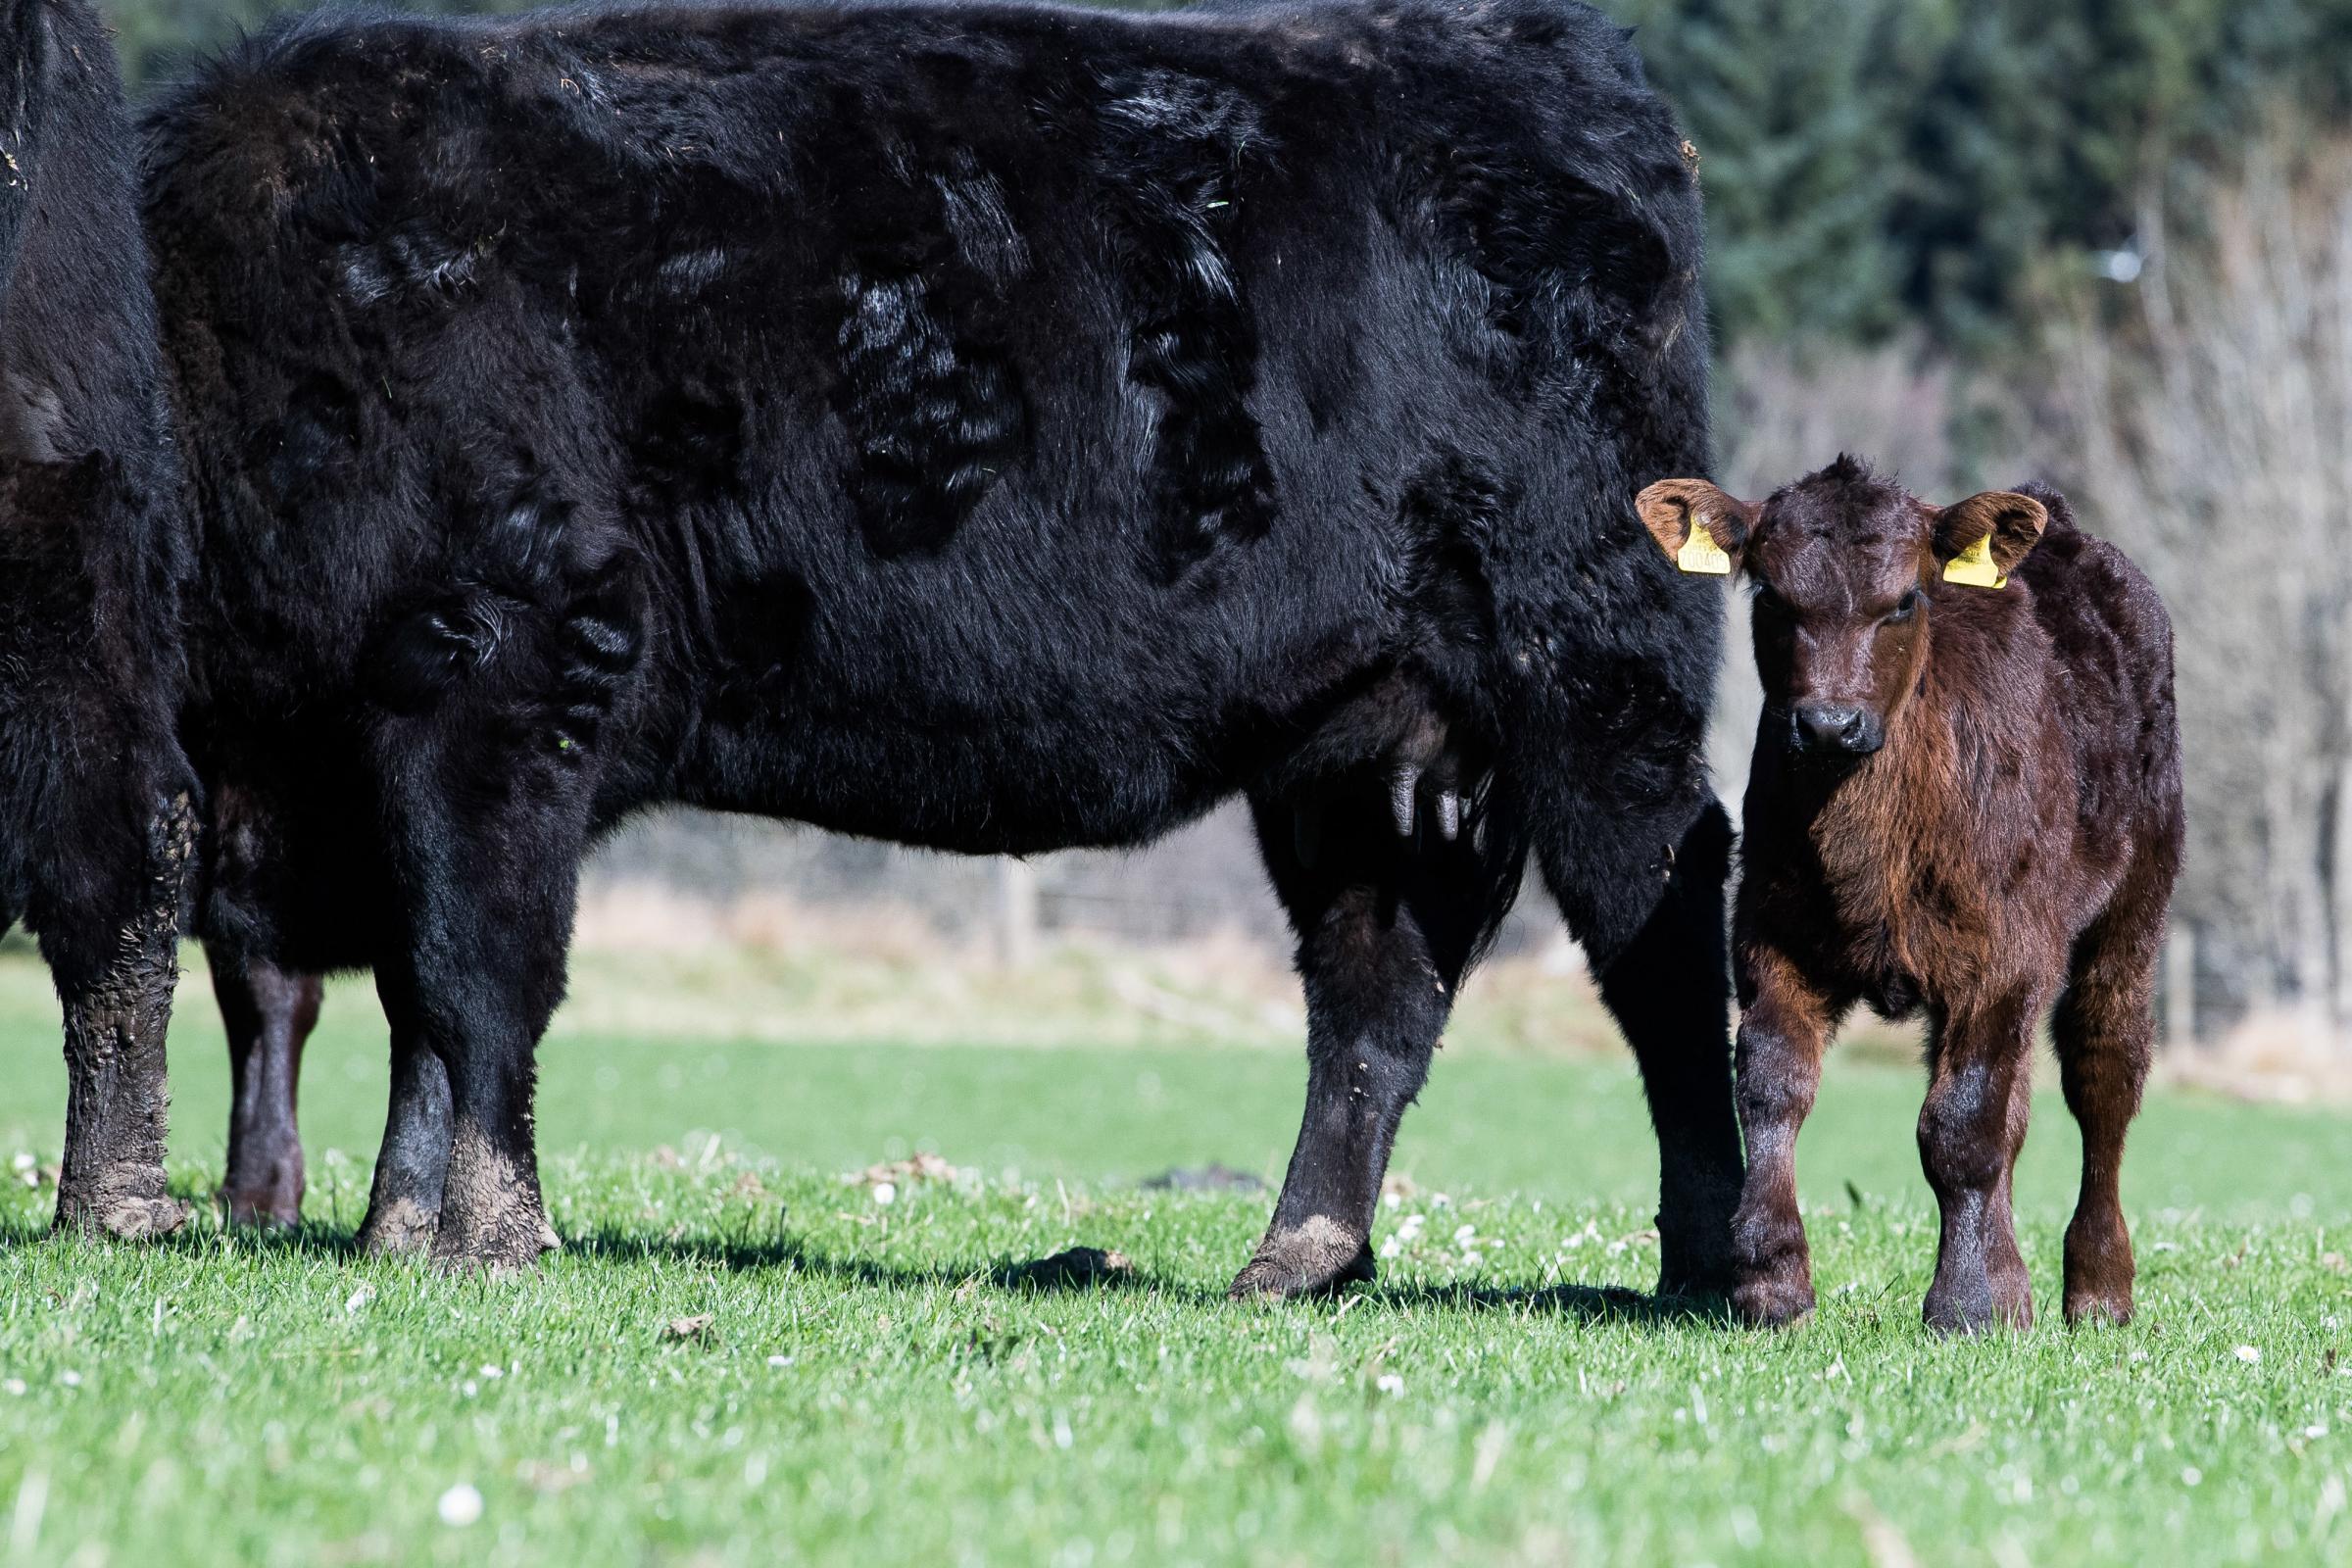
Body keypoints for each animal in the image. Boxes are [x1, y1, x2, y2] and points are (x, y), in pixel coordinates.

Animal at [133, 0, 1749, 1278]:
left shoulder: (505, 681)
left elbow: (475, 974)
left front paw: (490, 1235)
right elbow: (416, 994)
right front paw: (402, 1229)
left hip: (1598, 677)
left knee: (1665, 935)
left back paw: (1715, 1265)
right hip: (1371, 740)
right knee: (1377, 984)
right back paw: (1299, 1254)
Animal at [1646, 456, 2173, 1335]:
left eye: (1903, 599)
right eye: (1771, 596)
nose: (1829, 724)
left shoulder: (2005, 953)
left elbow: (1960, 1127)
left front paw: (1963, 1307)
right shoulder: (1769, 936)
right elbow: (1772, 1086)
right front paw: (1772, 1280)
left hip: (2134, 911)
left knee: (2103, 1076)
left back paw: (2099, 1291)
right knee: (2016, 1106)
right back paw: (2016, 1285)